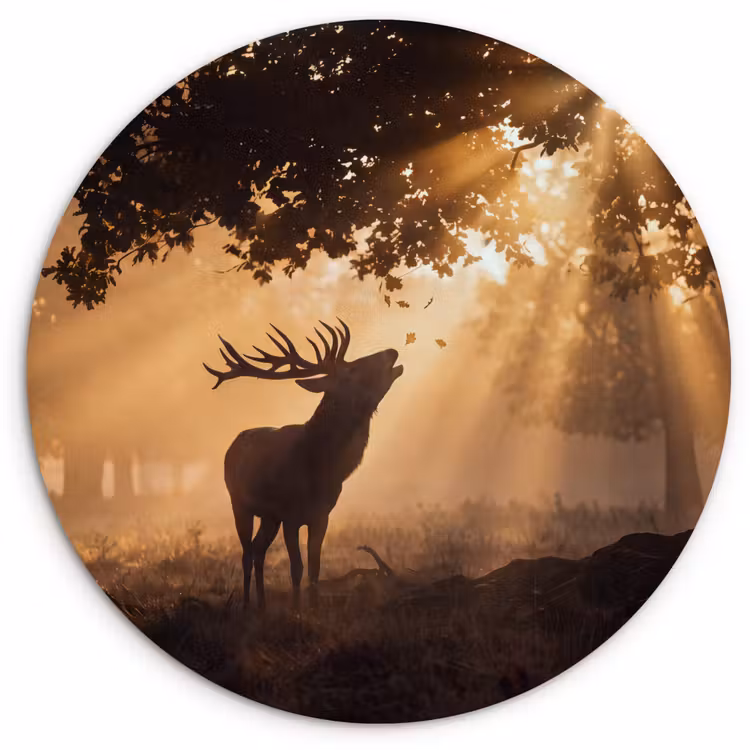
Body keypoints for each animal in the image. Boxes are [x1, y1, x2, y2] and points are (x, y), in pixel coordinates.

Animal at [203, 319, 403, 611]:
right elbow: (296, 568)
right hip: (239, 504)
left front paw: (314, 607)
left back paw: (263, 604)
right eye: (353, 369)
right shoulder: (290, 515)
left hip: (269, 516)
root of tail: (234, 443)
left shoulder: (321, 515)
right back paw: (247, 604)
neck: (320, 467)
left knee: (258, 550)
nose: (391, 352)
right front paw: (297, 611)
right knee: (247, 552)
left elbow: (315, 568)